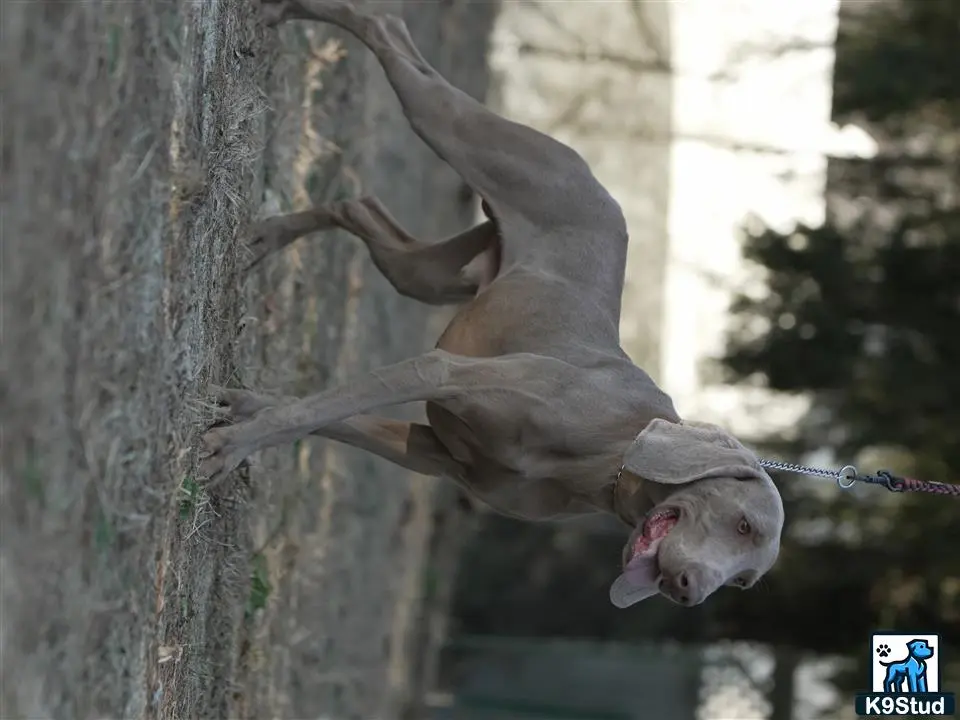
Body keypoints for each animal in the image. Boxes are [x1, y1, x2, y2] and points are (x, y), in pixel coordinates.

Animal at [199, 0, 784, 608]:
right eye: (742, 523)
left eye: (744, 579)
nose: (689, 591)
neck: (613, 455)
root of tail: (599, 188)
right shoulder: (440, 372)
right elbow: (312, 414)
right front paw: (235, 445)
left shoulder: (434, 454)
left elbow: (327, 420)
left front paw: (241, 409)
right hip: (459, 131)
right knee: (389, 33)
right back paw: (287, 12)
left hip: (429, 276)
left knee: (362, 207)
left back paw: (263, 238)